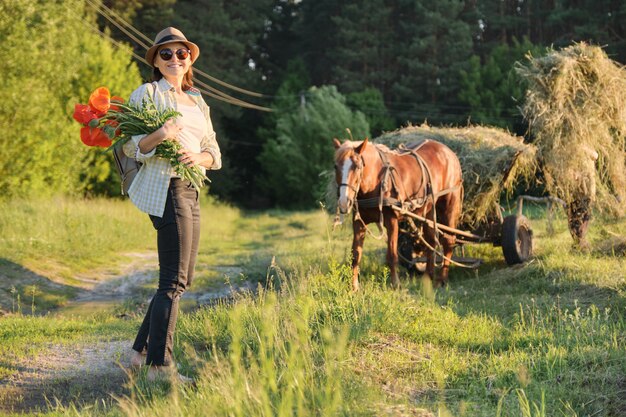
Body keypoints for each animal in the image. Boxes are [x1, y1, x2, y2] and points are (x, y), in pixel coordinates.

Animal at [332, 136, 464, 290]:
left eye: (357, 166)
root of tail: (449, 152)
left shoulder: (392, 221)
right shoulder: (359, 221)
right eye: (335, 166)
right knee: (431, 240)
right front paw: (354, 287)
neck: (377, 180)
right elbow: (355, 254)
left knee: (448, 240)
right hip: (429, 209)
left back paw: (441, 279)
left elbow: (392, 255)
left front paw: (395, 284)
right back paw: (428, 277)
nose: (344, 202)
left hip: (450, 204)